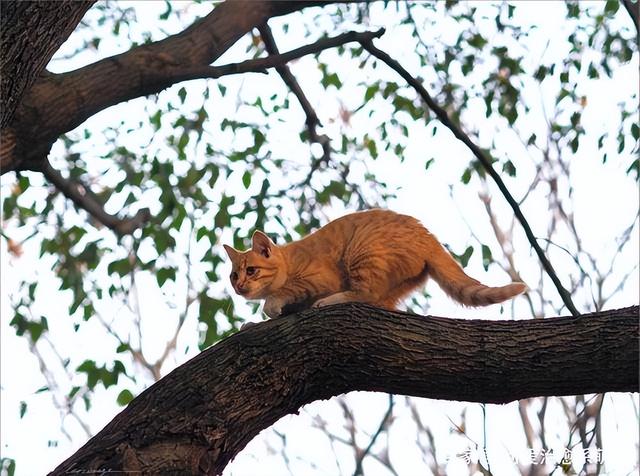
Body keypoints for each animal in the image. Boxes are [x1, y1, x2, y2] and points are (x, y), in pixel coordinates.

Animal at [222, 209, 528, 318]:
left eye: (251, 271)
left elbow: (280, 295)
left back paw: (329, 301)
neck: (289, 262)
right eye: (233, 276)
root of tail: (428, 237)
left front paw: (271, 305)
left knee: (364, 294)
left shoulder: (317, 279)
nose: (239, 286)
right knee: (378, 301)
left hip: (361, 253)